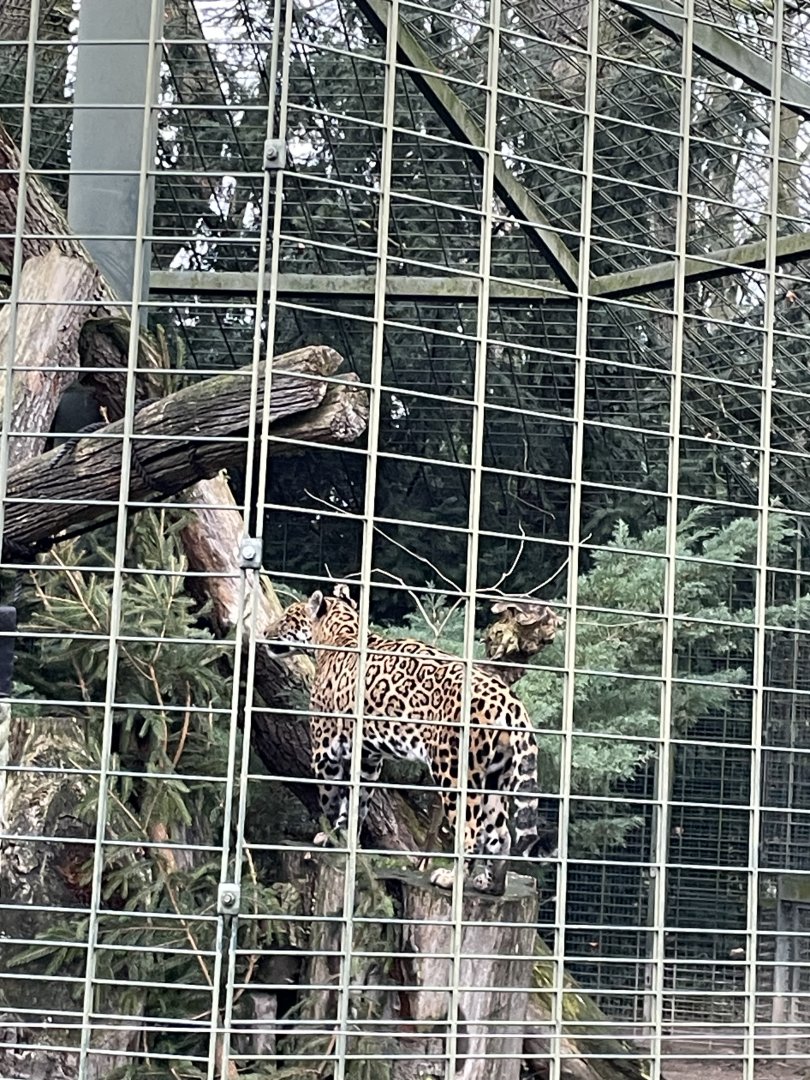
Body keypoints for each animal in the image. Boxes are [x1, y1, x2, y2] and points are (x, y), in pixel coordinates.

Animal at [267, 586, 558, 896]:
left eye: (287, 618)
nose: (265, 631)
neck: (339, 632)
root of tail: (508, 701)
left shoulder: (325, 750)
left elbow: (331, 799)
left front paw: (329, 836)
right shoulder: (368, 759)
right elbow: (358, 800)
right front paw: (347, 837)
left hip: (455, 771)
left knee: (472, 831)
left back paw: (451, 878)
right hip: (494, 775)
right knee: (500, 834)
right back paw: (492, 884)